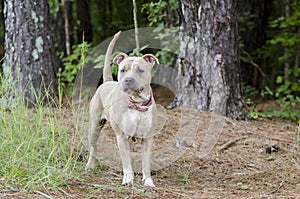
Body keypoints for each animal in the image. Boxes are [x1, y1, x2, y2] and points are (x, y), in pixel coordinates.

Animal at [85, 31, 158, 187]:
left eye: (141, 70)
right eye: (122, 70)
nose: (128, 80)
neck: (136, 103)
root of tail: (107, 82)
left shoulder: (148, 138)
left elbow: (146, 162)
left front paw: (148, 181)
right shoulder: (122, 136)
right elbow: (126, 161)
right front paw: (128, 179)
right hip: (94, 125)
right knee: (93, 146)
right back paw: (90, 165)